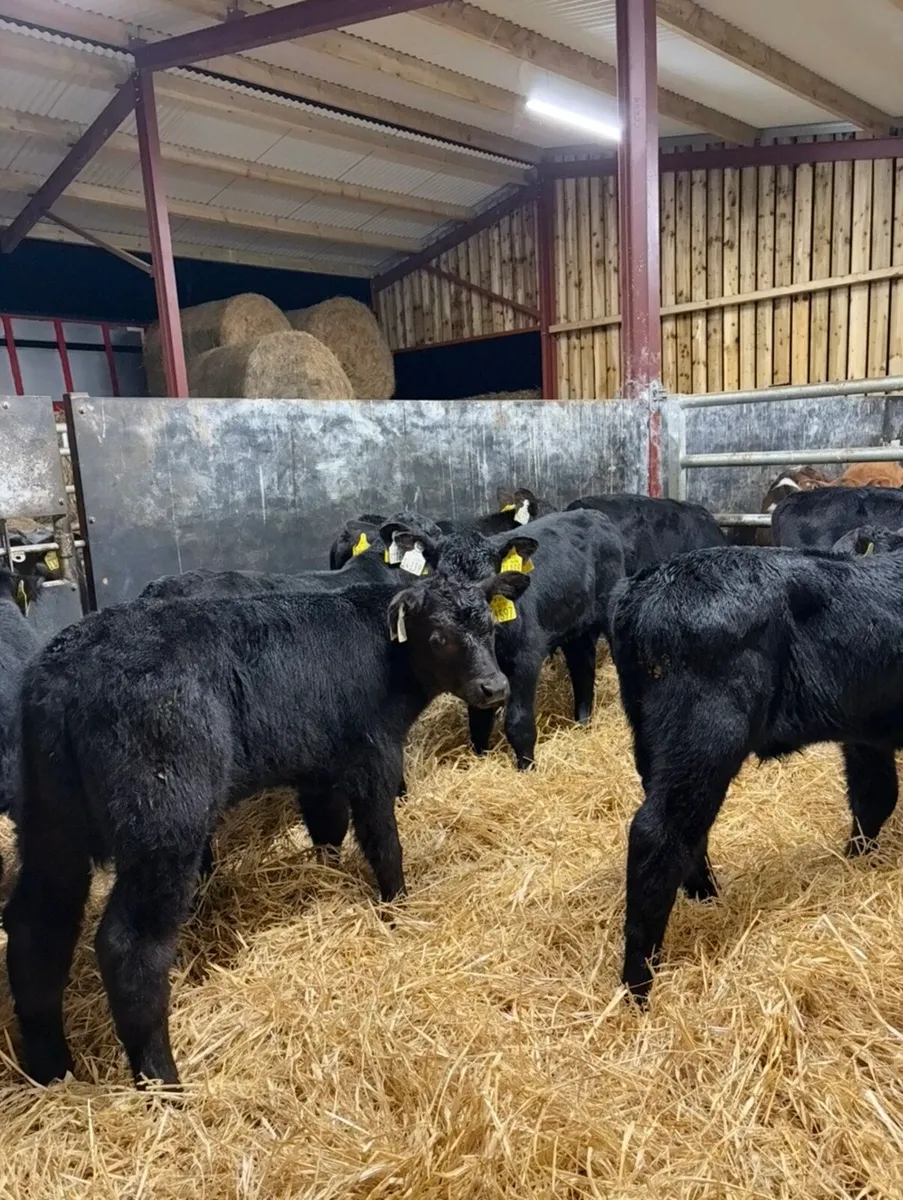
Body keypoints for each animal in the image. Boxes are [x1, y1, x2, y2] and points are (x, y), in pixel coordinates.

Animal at [5, 567, 528, 1088]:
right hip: (162, 829)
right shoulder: (374, 753)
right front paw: (398, 906)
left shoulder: (320, 765)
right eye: (438, 637)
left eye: (490, 627)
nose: (495, 688)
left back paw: (51, 1071)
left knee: (35, 929)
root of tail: (63, 671)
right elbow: (384, 841)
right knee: (129, 949)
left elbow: (327, 828)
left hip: (51, 825)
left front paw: (327, 875)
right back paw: (165, 1084)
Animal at [390, 509, 625, 768]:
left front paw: (527, 768)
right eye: (442, 576)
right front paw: (480, 758)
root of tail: (593, 514)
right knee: (583, 669)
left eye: (490, 578)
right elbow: (478, 720)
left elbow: (518, 723)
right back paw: (582, 724)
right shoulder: (475, 673)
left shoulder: (526, 658)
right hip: (576, 629)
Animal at [610, 544, 903, 1001]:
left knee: (687, 831)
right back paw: (639, 987)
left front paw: (856, 861)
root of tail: (647, 583)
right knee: (657, 832)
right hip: (708, 730)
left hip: (652, 742)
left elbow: (874, 797)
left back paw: (708, 897)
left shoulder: (866, 733)